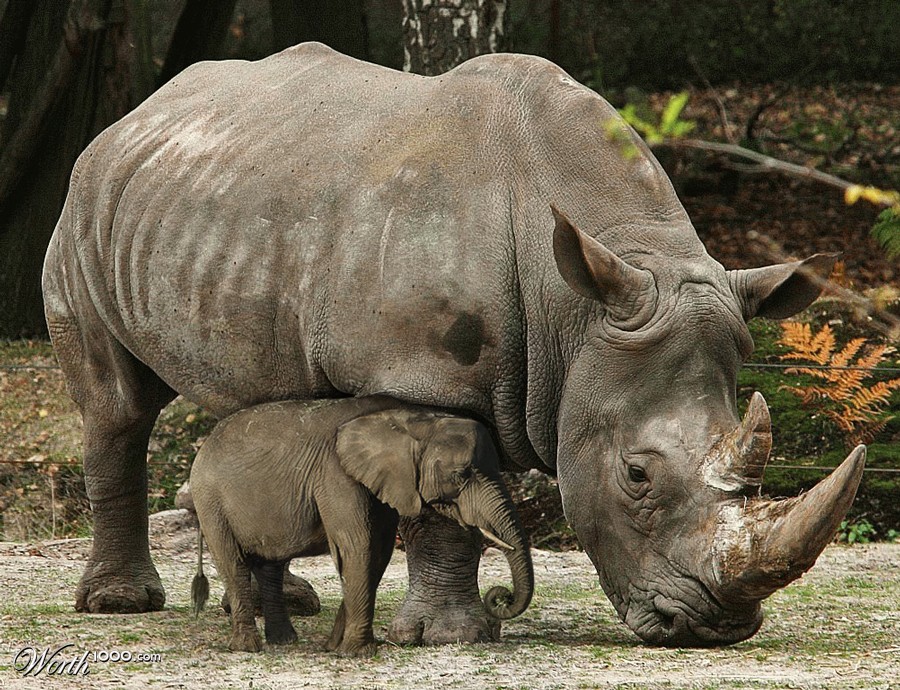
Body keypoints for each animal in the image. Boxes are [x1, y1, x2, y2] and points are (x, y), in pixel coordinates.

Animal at [188, 395, 533, 654]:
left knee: (269, 564)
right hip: (210, 501)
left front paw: (335, 648)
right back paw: (247, 648)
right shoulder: (335, 474)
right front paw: (359, 652)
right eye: (462, 474)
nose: (499, 595)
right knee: (232, 562)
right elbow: (356, 546)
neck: (409, 419)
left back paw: (284, 642)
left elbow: (377, 552)